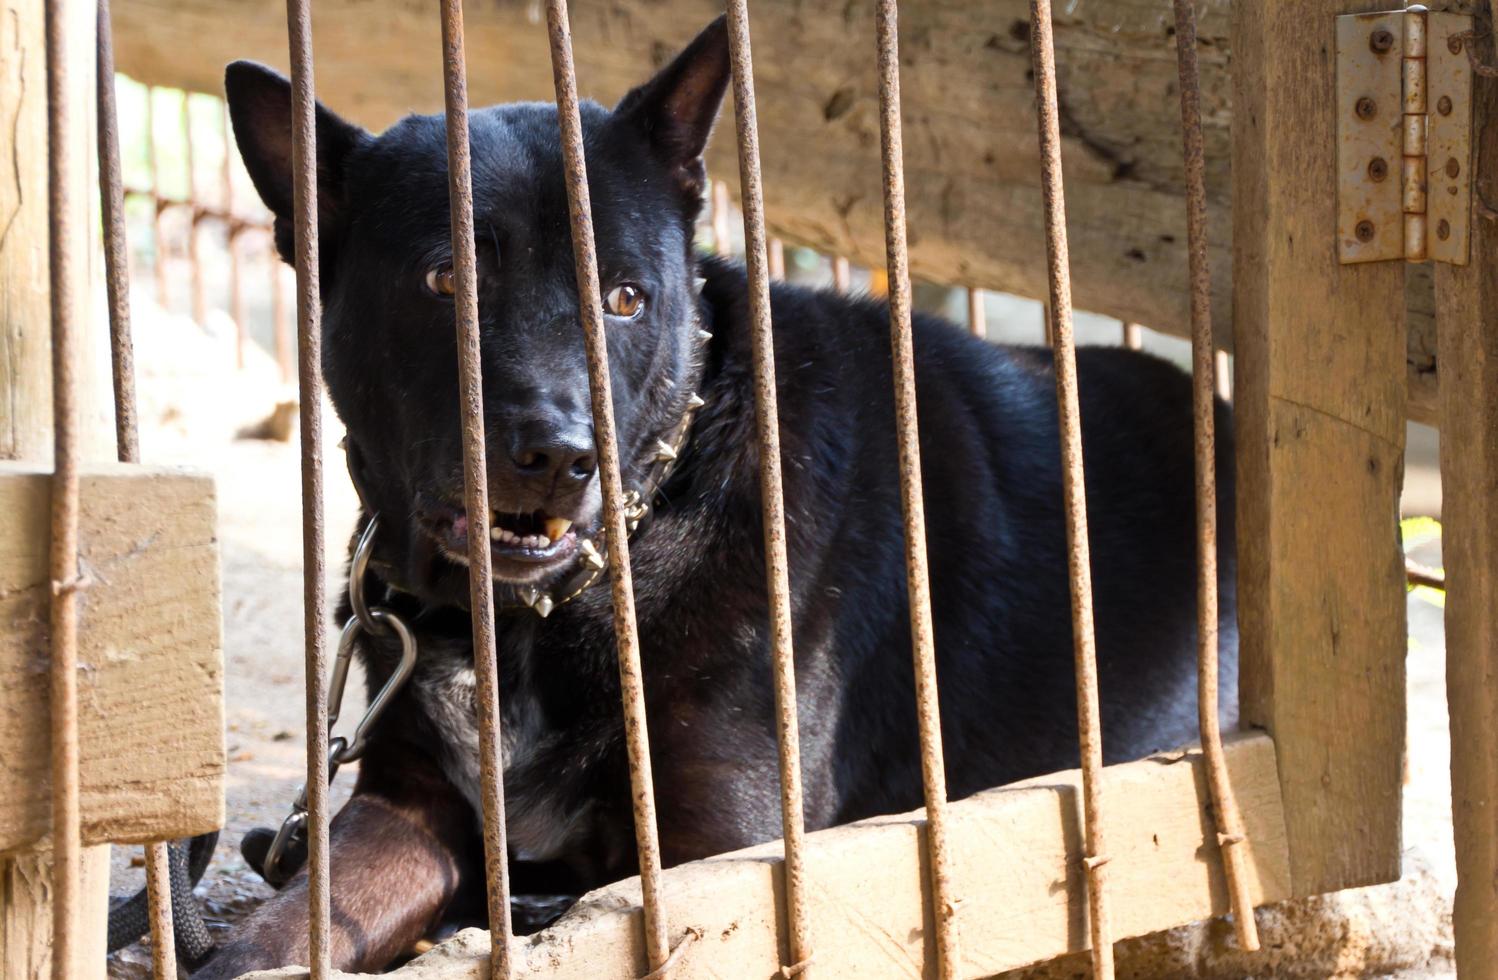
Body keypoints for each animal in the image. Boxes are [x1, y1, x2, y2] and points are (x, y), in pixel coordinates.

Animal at [202, 13, 1228, 977]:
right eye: (445, 279)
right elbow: (282, 931)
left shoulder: (726, 854)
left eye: (624, 298)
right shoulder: (403, 809)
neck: (542, 614)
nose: (561, 456)